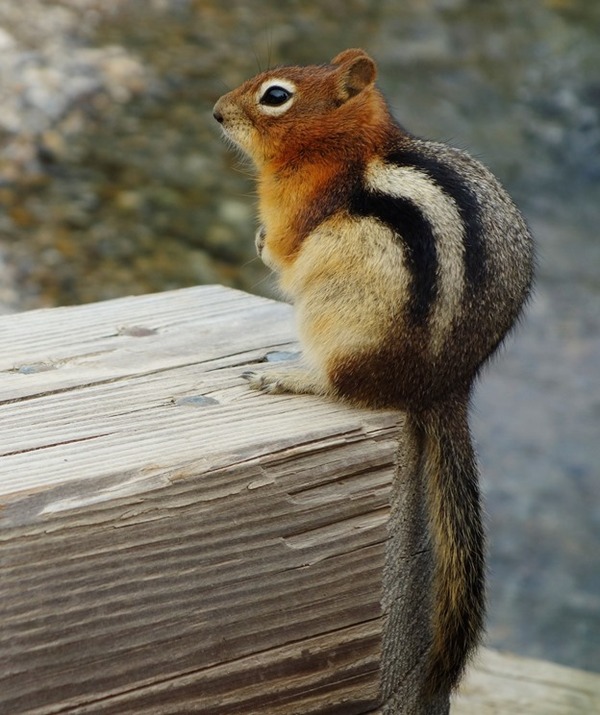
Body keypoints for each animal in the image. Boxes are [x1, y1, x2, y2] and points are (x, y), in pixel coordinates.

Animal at [213, 49, 532, 700]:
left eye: (275, 96)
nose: (216, 112)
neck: (345, 148)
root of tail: (442, 388)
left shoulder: (299, 212)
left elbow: (283, 250)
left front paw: (260, 242)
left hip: (334, 315)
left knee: (346, 386)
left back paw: (290, 376)